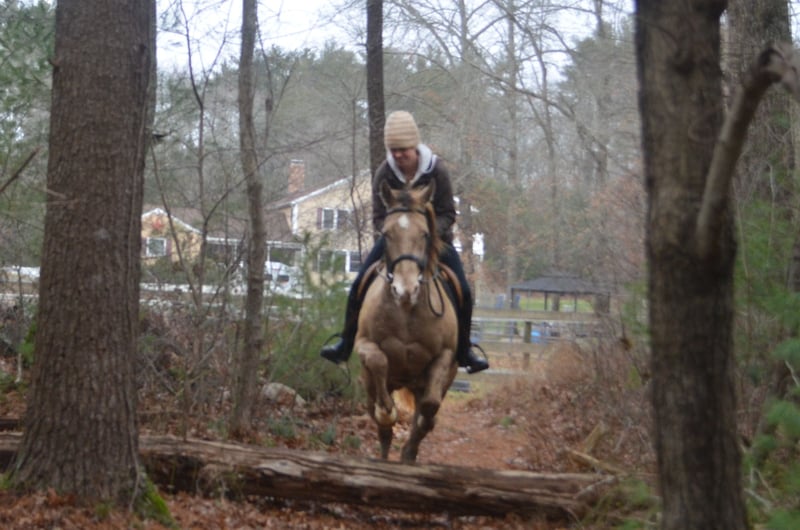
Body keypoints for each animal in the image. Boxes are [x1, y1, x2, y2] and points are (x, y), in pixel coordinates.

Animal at [355, 180, 459, 463]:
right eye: (386, 234)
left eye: (424, 234)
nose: (406, 290)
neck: (405, 312)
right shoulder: (363, 344)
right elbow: (378, 360)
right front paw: (387, 412)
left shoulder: (445, 356)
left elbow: (429, 408)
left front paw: (418, 435)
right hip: (371, 383)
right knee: (381, 426)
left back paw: (409, 455)